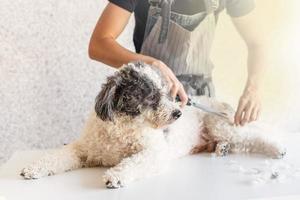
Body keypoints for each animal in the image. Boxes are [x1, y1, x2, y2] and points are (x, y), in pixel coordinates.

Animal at [19, 61, 288, 188]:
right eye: (151, 95)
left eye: (168, 93)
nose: (178, 113)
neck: (123, 128)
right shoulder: (83, 149)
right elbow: (58, 155)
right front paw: (33, 168)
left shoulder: (153, 153)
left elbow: (133, 163)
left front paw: (116, 176)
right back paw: (221, 149)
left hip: (221, 125)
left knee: (253, 138)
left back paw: (278, 149)